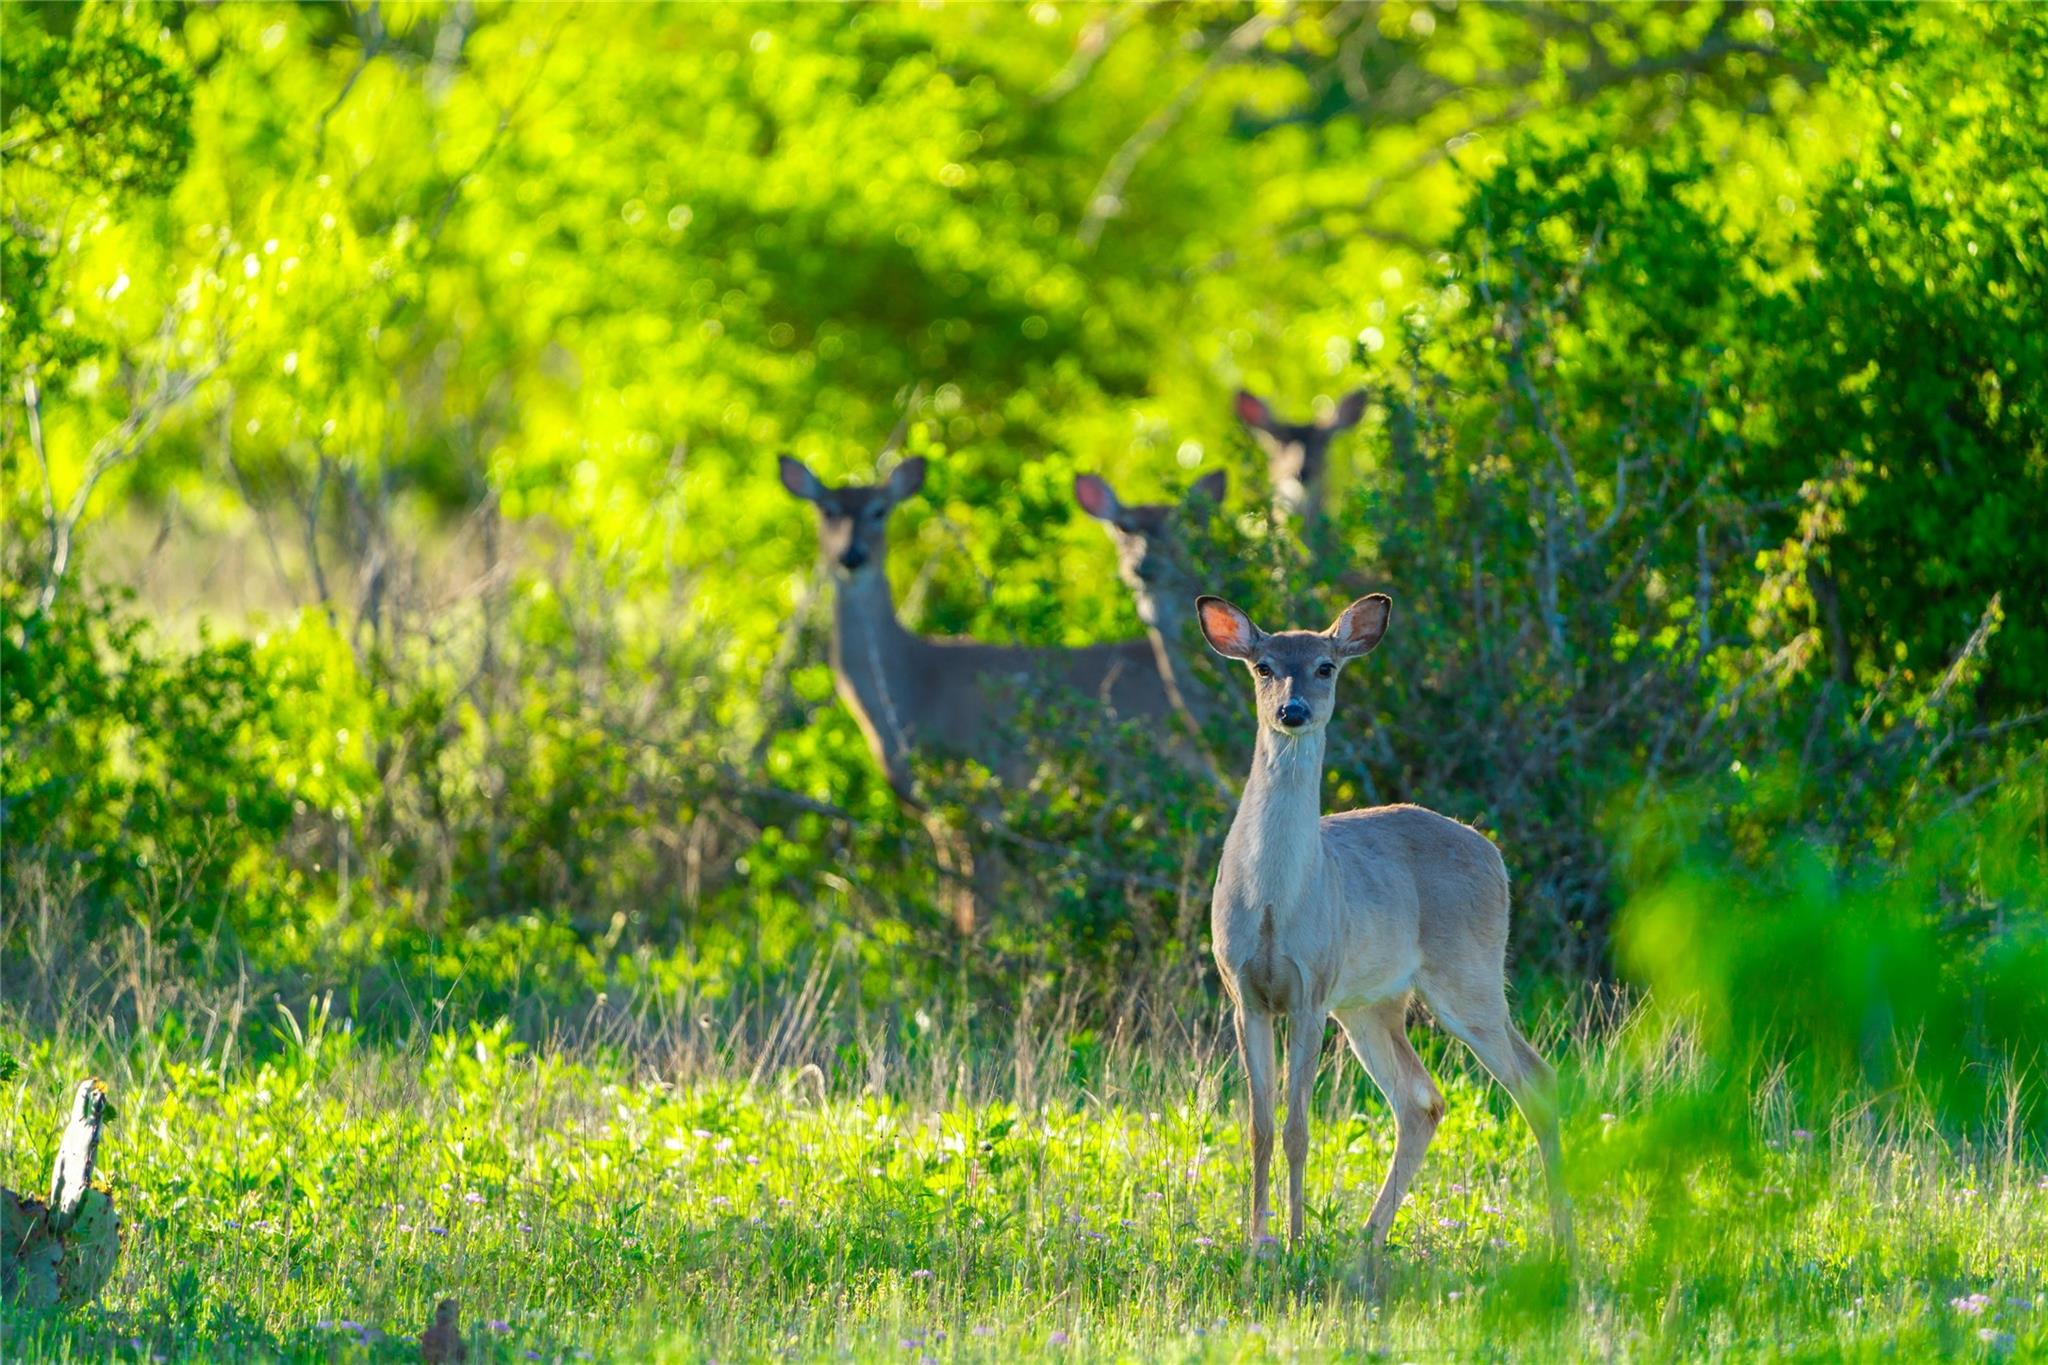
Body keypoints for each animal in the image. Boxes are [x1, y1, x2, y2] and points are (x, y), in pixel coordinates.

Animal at [770, 454, 1187, 933]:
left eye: (879, 510)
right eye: (827, 509)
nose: (851, 556)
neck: (914, 687)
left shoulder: (988, 798)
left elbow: (978, 908)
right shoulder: (939, 816)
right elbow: (955, 901)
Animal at [1196, 593, 1572, 1252]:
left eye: (1326, 667)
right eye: (1264, 666)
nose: (1293, 711)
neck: (1271, 902)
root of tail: (1496, 856)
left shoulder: (1312, 989)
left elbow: (1297, 1129)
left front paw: (1294, 1242)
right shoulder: (1244, 992)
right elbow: (1260, 1127)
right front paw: (1257, 1242)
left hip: (1466, 977)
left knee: (1535, 1080)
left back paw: (1561, 1241)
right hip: (1373, 1005)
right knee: (1422, 1100)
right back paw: (1368, 1238)